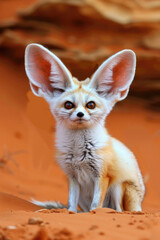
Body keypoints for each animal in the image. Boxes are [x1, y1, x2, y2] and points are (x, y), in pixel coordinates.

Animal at [24, 43, 145, 212]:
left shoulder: (102, 175)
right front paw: (70, 214)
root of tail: (139, 205)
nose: (80, 114)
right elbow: (71, 205)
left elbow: (96, 205)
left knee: (119, 210)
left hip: (119, 187)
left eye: (91, 105)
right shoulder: (72, 176)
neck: (78, 152)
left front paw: (96, 214)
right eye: (69, 105)